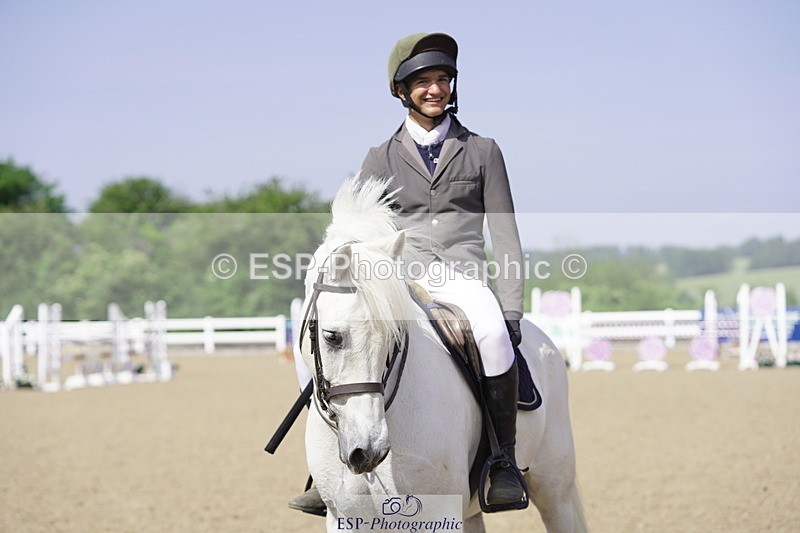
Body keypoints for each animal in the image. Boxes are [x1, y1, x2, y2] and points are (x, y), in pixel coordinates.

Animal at [296, 177, 588, 532]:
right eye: (332, 337)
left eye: (394, 338)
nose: (369, 449)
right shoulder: (345, 519)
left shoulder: (439, 516)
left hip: (556, 489)